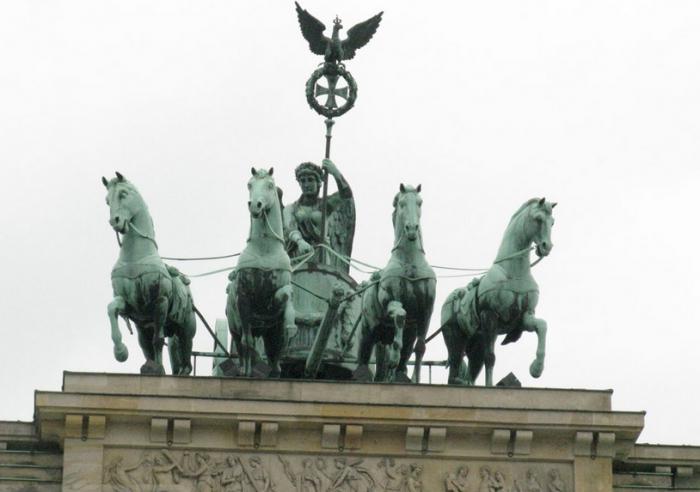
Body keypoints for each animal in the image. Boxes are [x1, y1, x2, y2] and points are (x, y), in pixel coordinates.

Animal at [102, 171, 194, 374]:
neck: (135, 258)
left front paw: (158, 369)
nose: (115, 221)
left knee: (185, 354)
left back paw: (180, 371)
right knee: (146, 346)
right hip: (143, 327)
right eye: (107, 200)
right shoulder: (130, 306)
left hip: (186, 327)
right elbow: (112, 308)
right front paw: (120, 352)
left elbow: (158, 341)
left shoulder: (160, 302)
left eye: (123, 194)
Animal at [224, 167, 296, 378]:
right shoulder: (243, 299)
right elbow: (247, 344)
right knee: (243, 347)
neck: (265, 250)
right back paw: (245, 370)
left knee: (273, 354)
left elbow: (286, 294)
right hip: (235, 327)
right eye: (249, 185)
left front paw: (291, 323)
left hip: (268, 331)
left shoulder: (275, 302)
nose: (255, 205)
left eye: (270, 185)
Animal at [358, 184, 434, 384]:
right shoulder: (392, 300)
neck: (410, 262)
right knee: (365, 354)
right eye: (401, 203)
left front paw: (415, 379)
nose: (412, 228)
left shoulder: (426, 311)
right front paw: (393, 357)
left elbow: (420, 347)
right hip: (369, 330)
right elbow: (400, 315)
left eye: (420, 202)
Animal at [440, 196, 556, 384]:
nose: (547, 247)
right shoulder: (490, 317)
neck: (514, 272)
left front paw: (536, 368)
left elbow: (542, 326)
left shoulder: (525, 317)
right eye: (538, 219)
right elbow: (491, 358)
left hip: (476, 344)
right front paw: (490, 385)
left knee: (471, 372)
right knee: (455, 368)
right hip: (455, 339)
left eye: (552, 222)